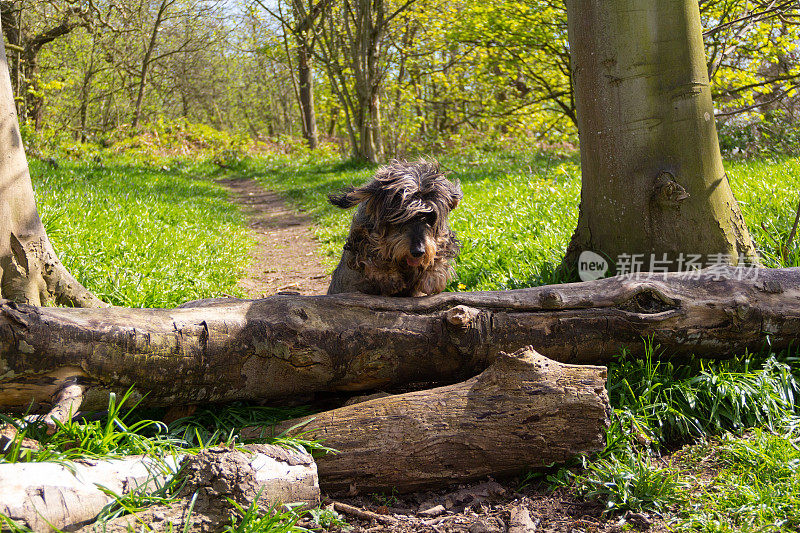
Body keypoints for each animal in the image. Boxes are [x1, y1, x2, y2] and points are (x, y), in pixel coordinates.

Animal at [326, 160, 462, 298]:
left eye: (431, 217)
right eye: (399, 215)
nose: (418, 252)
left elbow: (443, 247)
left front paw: (433, 277)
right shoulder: (360, 235)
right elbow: (370, 250)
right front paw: (389, 276)